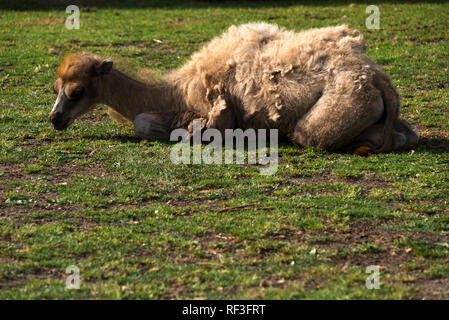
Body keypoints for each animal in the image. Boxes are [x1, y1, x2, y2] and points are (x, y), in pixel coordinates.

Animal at [50, 22, 418, 152]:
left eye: (77, 91)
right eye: (56, 86)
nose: (55, 119)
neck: (176, 90)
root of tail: (376, 77)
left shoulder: (215, 110)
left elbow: (150, 124)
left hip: (337, 108)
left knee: (311, 135)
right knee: (407, 134)